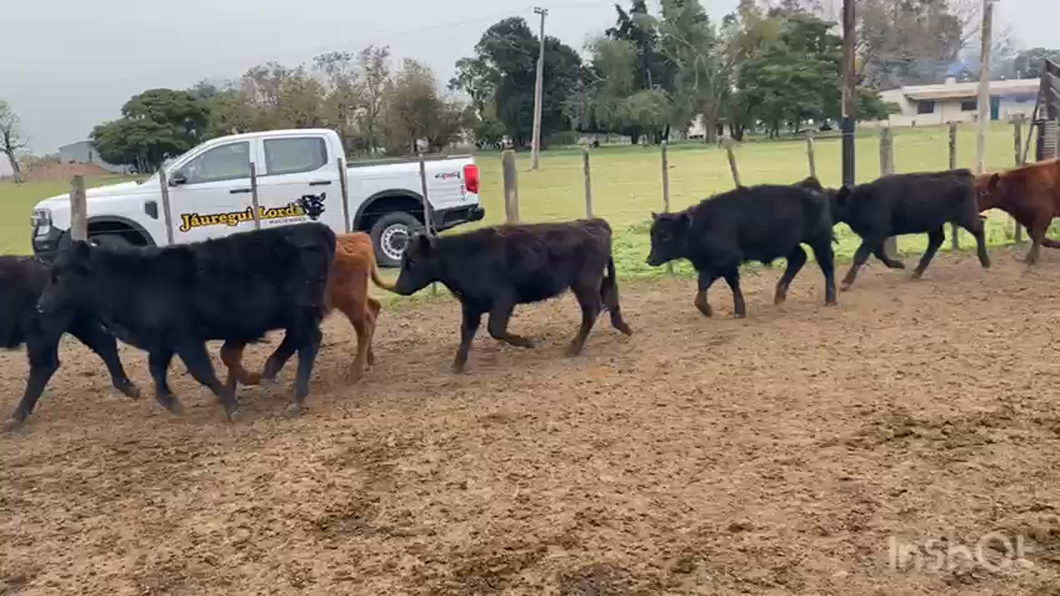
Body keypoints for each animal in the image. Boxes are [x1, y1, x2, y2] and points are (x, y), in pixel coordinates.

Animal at [217, 232, 396, 390]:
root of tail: (357, 237)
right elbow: (229, 354)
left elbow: (229, 355)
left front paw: (254, 377)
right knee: (373, 309)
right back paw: (369, 359)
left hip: (351, 302)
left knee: (364, 326)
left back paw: (355, 372)